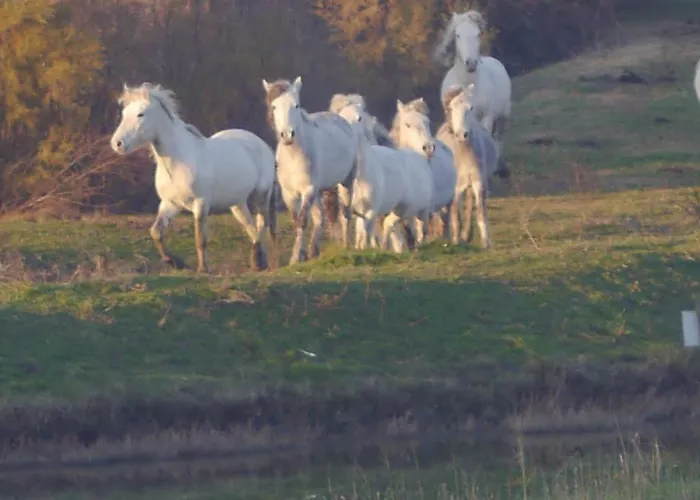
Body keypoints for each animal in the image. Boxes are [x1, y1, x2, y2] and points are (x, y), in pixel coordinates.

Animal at [110, 82, 276, 274]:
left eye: (140, 114)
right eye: (124, 114)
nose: (117, 144)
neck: (178, 162)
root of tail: (262, 144)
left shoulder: (200, 204)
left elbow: (200, 239)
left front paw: (203, 269)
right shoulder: (170, 204)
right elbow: (156, 232)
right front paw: (174, 262)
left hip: (261, 194)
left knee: (262, 224)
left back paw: (258, 261)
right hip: (237, 203)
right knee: (251, 227)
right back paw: (260, 262)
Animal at [262, 76, 357, 264]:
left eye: (296, 105)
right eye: (274, 106)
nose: (287, 135)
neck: (293, 157)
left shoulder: (308, 190)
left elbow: (302, 221)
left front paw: (294, 258)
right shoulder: (289, 194)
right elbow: (296, 220)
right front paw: (301, 255)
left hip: (345, 183)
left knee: (344, 214)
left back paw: (345, 246)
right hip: (320, 192)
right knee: (320, 218)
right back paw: (314, 251)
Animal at [433, 9, 511, 179]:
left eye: (477, 34)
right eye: (457, 35)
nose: (471, 63)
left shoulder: (487, 118)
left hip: (503, 117)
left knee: (498, 139)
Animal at [437, 85, 500, 248]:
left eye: (470, 108)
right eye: (451, 108)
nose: (462, 134)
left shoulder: (479, 182)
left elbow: (480, 212)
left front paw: (485, 243)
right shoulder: (455, 189)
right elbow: (455, 214)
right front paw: (456, 241)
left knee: (472, 205)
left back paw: (467, 235)